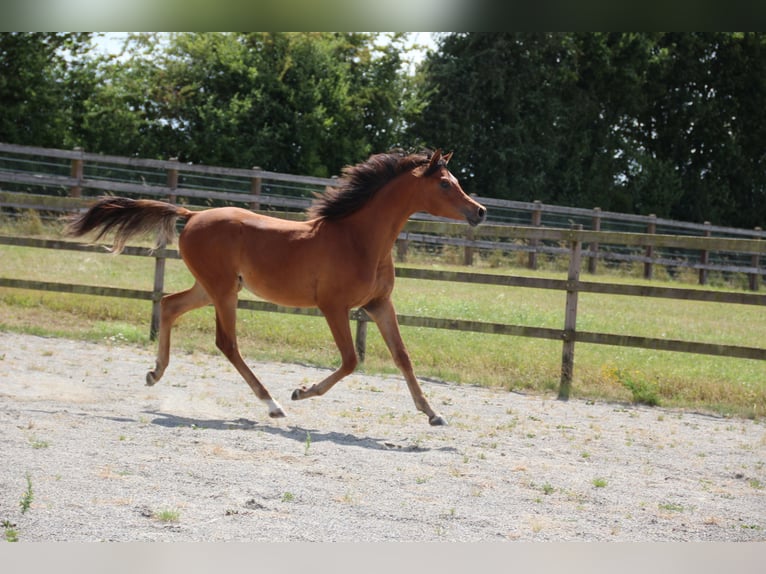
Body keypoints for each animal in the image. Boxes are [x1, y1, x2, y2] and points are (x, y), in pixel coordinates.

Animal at [65, 149, 487, 425]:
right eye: (446, 184)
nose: (480, 212)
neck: (359, 238)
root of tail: (193, 213)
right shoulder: (333, 307)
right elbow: (351, 360)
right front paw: (301, 391)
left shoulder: (380, 304)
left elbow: (402, 357)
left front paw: (433, 413)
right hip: (223, 291)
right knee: (227, 343)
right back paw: (272, 404)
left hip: (211, 287)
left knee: (169, 305)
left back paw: (155, 374)